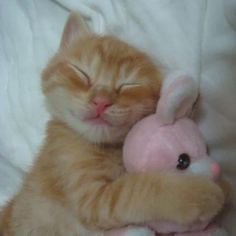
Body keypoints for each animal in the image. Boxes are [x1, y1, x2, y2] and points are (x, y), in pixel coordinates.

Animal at [0, 13, 224, 236]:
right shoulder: (92, 200)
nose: (101, 101)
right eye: (82, 74)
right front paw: (197, 193)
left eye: (128, 85)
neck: (104, 148)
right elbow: (138, 189)